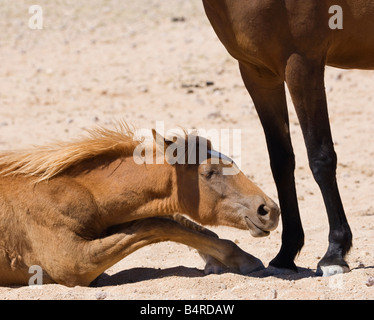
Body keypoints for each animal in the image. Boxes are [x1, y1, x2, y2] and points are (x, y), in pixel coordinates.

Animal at [0, 124, 278, 286]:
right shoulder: (73, 264)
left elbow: (177, 224)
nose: (269, 210)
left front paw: (229, 258)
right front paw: (237, 259)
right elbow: (156, 225)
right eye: (209, 172)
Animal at [203, 0, 374, 276]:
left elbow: (320, 158)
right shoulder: (259, 73)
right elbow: (281, 162)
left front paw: (335, 253)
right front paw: (286, 253)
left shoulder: (301, 64)